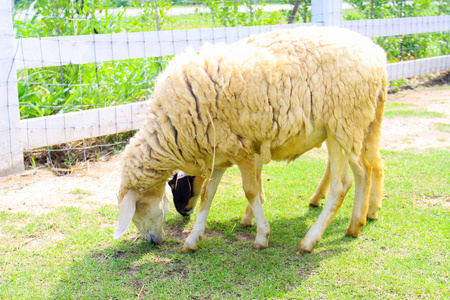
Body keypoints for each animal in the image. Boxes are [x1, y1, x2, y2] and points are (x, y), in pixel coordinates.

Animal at [112, 26, 386, 253]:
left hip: (343, 123)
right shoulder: (219, 154)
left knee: (343, 184)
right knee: (367, 169)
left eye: (140, 207)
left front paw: (261, 235)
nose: (152, 241)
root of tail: (376, 54)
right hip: (353, 127)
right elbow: (207, 197)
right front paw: (192, 240)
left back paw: (310, 240)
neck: (172, 129)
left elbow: (251, 191)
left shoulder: (241, 149)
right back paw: (357, 223)